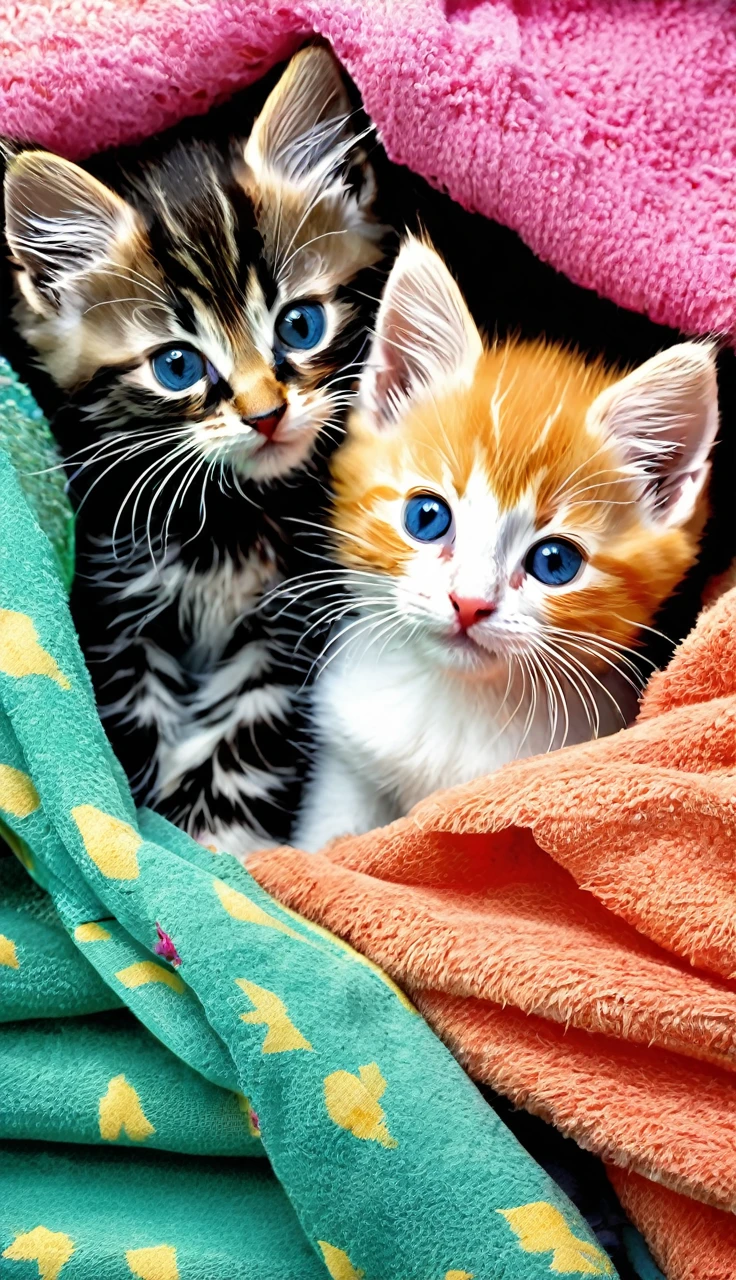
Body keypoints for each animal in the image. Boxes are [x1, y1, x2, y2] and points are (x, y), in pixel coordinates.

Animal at [4, 49, 386, 855]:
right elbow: (136, 728)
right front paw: (154, 837)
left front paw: (215, 846)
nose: (266, 415)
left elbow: (243, 739)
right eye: (178, 365)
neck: (228, 519)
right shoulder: (116, 608)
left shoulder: (289, 625)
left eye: (300, 325)